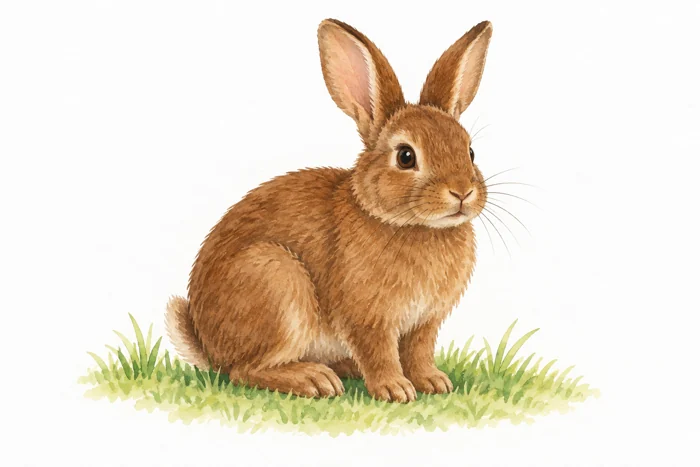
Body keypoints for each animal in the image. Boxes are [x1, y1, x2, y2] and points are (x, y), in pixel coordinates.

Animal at [166, 18, 493, 403]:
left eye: (470, 151)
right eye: (405, 156)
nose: (462, 192)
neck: (410, 225)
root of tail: (208, 345)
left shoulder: (425, 322)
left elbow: (419, 352)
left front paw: (433, 382)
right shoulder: (368, 317)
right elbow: (379, 352)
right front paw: (394, 389)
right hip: (276, 282)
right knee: (244, 371)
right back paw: (314, 380)